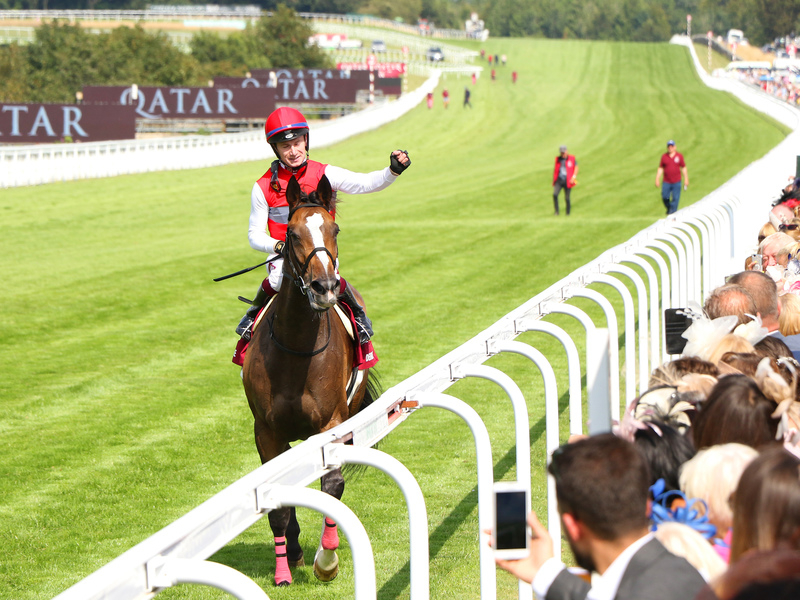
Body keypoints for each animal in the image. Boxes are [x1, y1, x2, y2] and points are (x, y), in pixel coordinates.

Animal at [242, 173, 376, 584]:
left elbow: (332, 487)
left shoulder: (331, 423)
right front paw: (286, 564)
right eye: (292, 232)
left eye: (334, 228)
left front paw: (326, 560)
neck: (296, 350)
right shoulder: (267, 431)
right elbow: (279, 501)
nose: (325, 288)